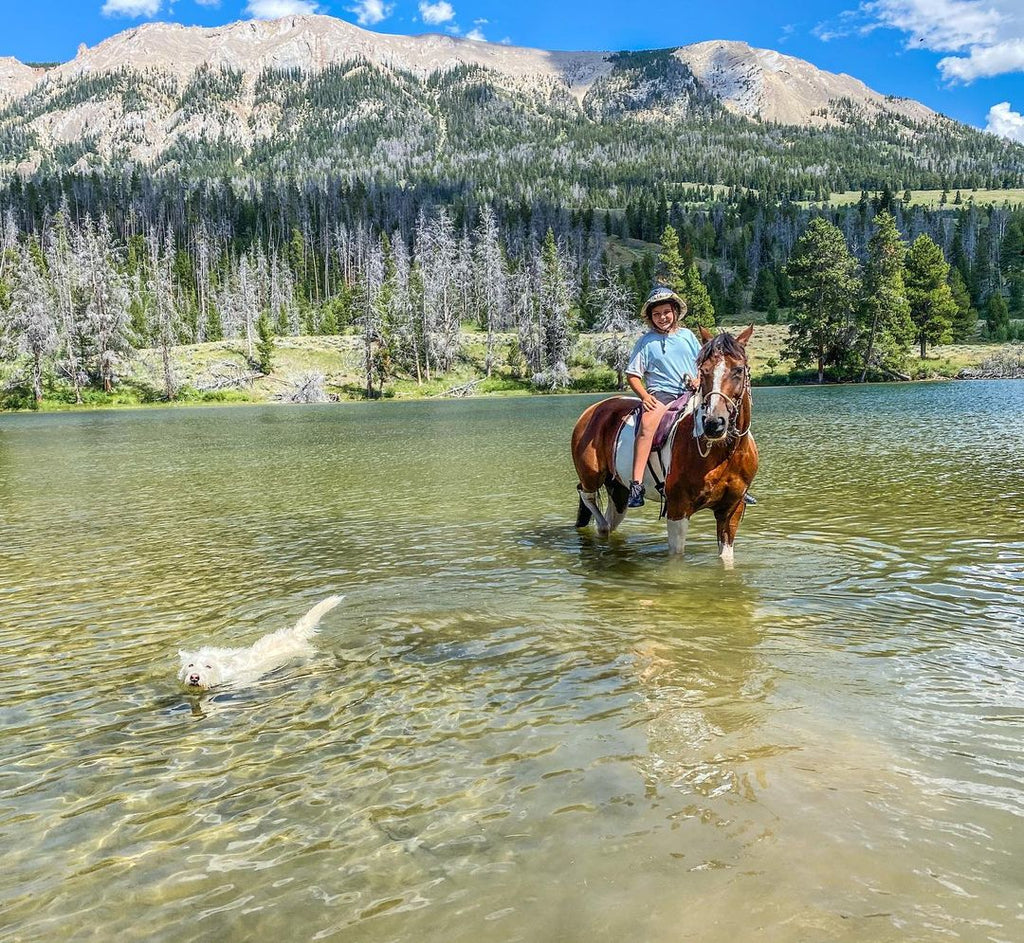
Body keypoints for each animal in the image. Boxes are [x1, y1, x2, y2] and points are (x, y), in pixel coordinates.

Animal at [569, 323, 761, 561]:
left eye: (738, 370)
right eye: (704, 371)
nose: (714, 424)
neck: (724, 453)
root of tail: (592, 410)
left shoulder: (731, 510)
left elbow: (726, 559)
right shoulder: (678, 509)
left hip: (618, 488)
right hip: (592, 476)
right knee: (589, 500)